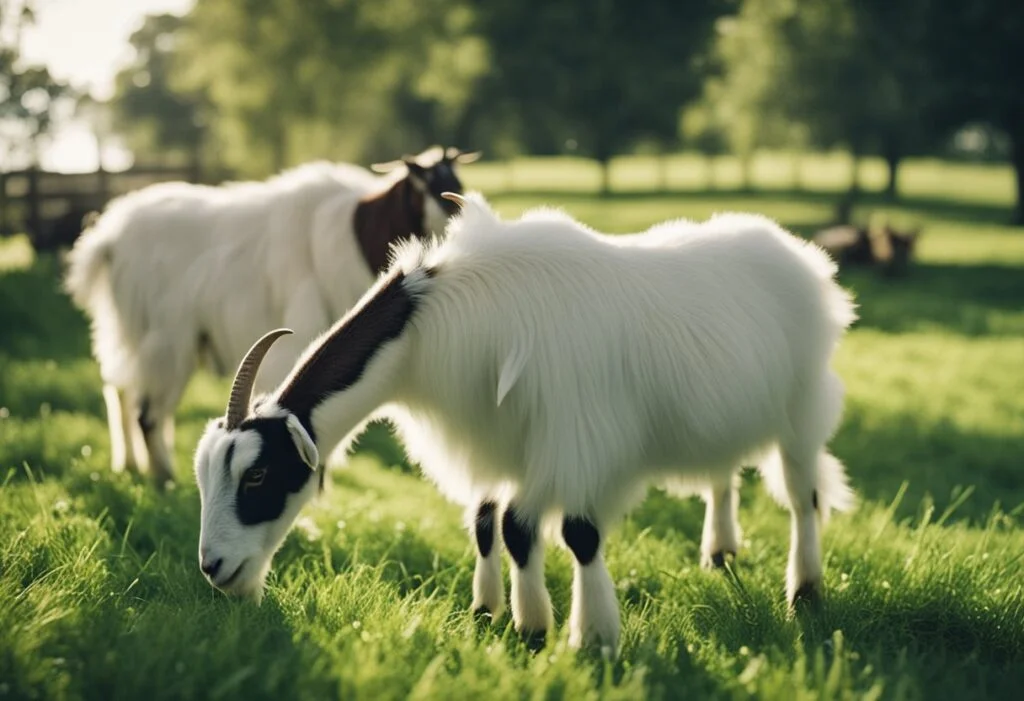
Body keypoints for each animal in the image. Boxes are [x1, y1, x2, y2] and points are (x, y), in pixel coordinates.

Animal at [64, 146, 480, 487]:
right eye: (429, 186)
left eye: (457, 181)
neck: (357, 233)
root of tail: (108, 240)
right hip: (165, 337)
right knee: (146, 412)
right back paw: (163, 478)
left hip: (130, 331)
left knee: (121, 390)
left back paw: (132, 466)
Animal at [192, 192, 856, 656]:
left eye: (257, 476)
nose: (213, 570)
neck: (436, 322)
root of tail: (799, 256)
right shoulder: (496, 439)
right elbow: (491, 525)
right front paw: (490, 612)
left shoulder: (575, 439)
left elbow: (563, 532)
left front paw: (569, 632)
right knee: (723, 473)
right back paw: (719, 553)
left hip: (801, 410)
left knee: (804, 497)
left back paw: (805, 591)